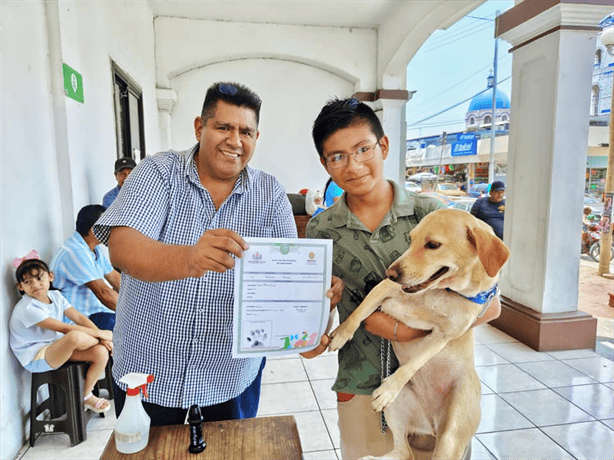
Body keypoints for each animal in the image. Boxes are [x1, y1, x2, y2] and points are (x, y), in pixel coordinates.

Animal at [330, 208, 512, 460]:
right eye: (411, 239)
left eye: (433, 244)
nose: (390, 272)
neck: (444, 291)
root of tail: (431, 425)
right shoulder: (384, 290)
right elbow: (358, 313)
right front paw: (341, 333)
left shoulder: (443, 336)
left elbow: (413, 364)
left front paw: (388, 388)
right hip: (397, 408)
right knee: (404, 452)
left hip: (451, 437)